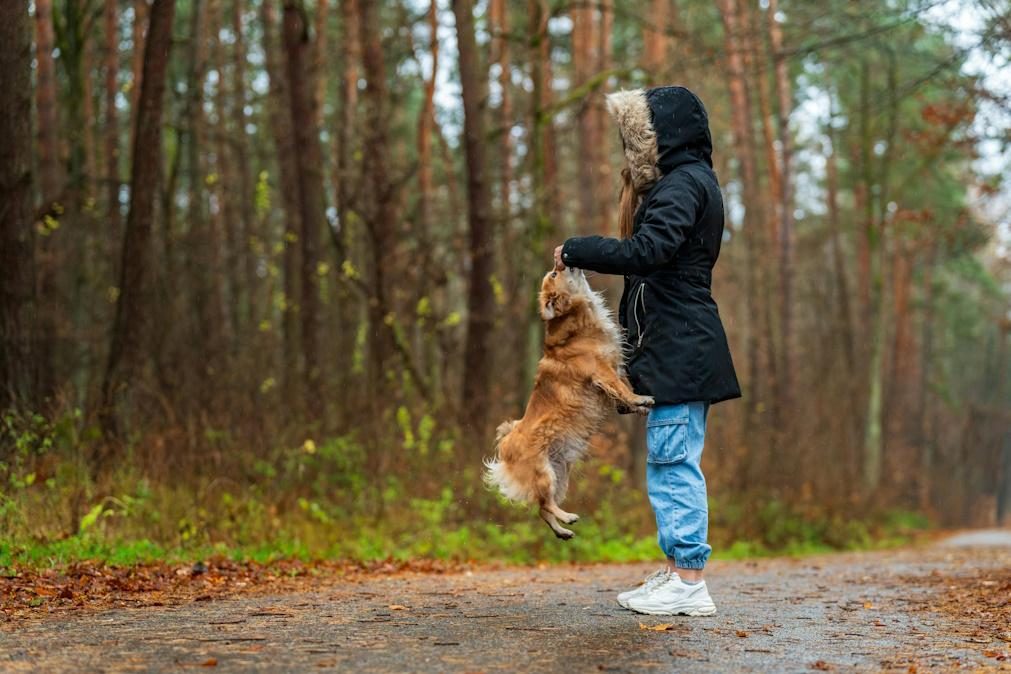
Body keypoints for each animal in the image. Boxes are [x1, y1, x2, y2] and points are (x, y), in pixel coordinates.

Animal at [483, 266, 655, 541]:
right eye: (554, 274)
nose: (561, 262)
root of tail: (506, 441)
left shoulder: (613, 368)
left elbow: (622, 390)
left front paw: (637, 406)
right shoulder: (601, 371)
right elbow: (621, 389)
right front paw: (640, 399)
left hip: (560, 475)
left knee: (542, 509)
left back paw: (562, 530)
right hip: (544, 474)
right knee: (545, 503)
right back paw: (567, 517)